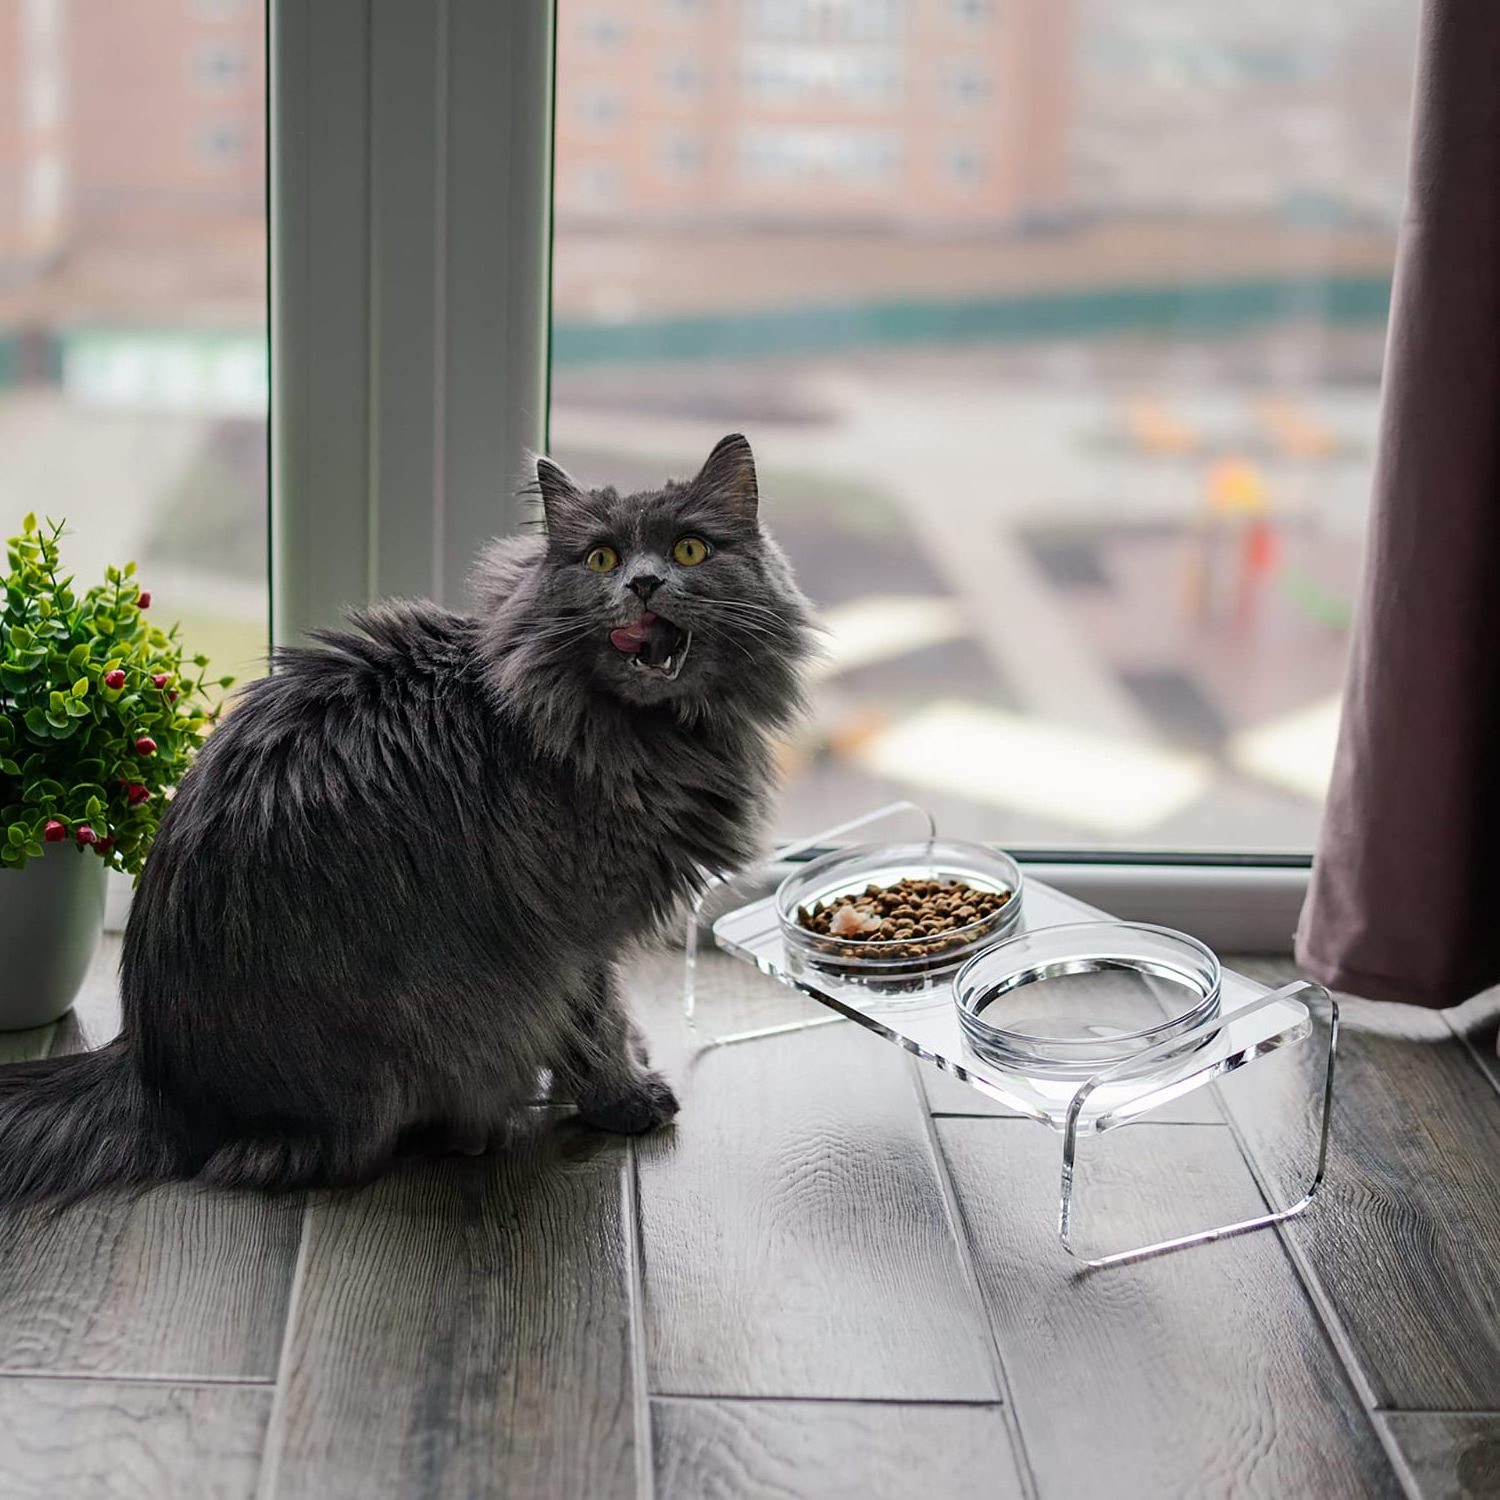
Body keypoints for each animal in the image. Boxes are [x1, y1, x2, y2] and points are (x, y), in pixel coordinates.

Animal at [0, 435, 816, 1206]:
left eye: (689, 549)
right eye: (602, 557)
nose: (643, 583)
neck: (641, 734)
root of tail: (154, 1073)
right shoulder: (575, 933)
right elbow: (597, 1021)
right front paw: (627, 1099)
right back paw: (476, 1129)